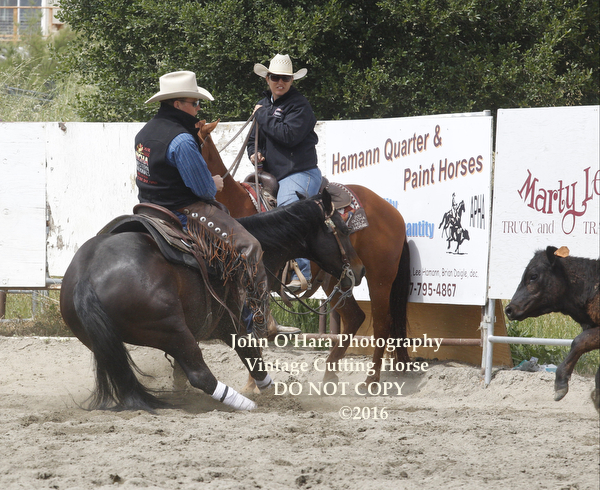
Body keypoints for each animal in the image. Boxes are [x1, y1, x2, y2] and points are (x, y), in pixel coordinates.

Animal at [59, 189, 364, 412]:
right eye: (342, 230)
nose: (359, 271)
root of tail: (87, 276)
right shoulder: (233, 324)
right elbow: (253, 358)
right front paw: (274, 396)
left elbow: (182, 375)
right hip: (171, 330)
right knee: (200, 375)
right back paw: (244, 404)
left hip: (107, 343)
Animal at [202, 126, 411, 387]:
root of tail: (392, 211)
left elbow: (254, 332)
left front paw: (253, 385)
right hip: (337, 277)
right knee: (355, 317)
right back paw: (329, 375)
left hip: (379, 278)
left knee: (382, 324)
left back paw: (370, 381)